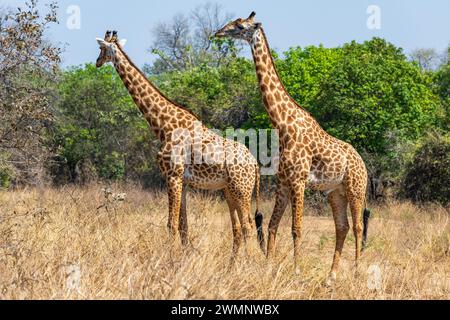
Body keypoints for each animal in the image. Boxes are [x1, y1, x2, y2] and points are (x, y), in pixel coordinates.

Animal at [94, 30, 264, 260]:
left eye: (101, 49)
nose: (97, 62)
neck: (163, 125)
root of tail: (254, 164)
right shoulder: (182, 180)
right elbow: (184, 225)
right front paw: (183, 257)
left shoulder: (172, 175)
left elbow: (171, 224)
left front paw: (169, 258)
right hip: (230, 190)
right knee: (238, 228)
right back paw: (233, 263)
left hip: (241, 189)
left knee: (247, 226)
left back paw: (248, 264)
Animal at [216, 13, 370, 282]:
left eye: (240, 26)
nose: (219, 32)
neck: (283, 124)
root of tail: (363, 164)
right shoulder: (283, 181)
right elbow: (272, 225)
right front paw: (268, 266)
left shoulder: (298, 180)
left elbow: (296, 227)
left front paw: (296, 270)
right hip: (335, 192)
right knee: (342, 227)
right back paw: (331, 276)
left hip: (356, 188)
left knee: (359, 226)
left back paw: (356, 272)